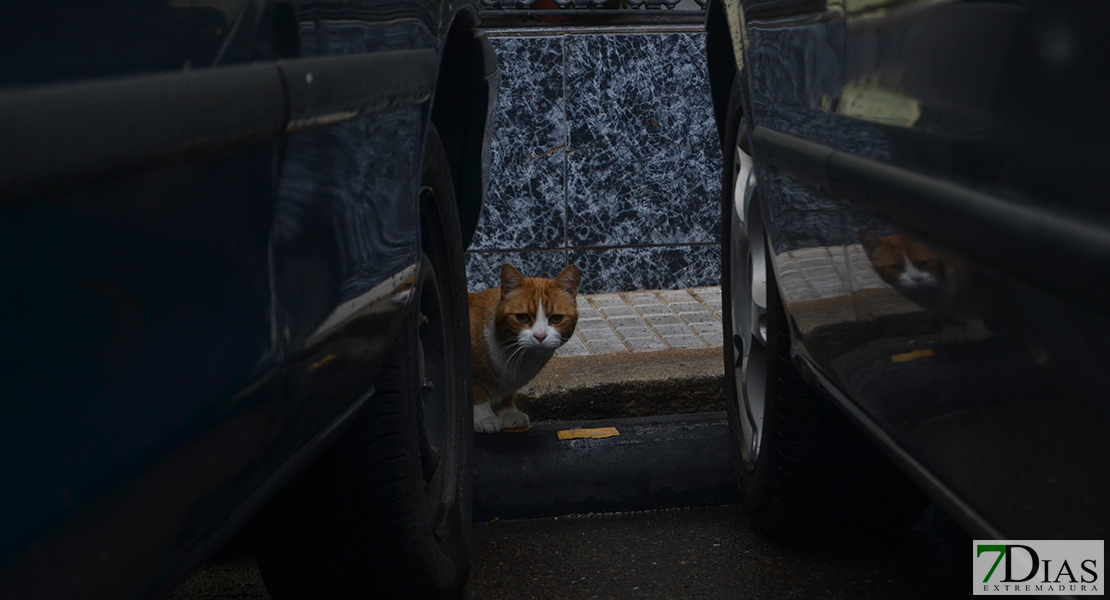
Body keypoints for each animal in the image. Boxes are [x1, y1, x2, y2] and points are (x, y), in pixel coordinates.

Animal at [468, 263, 581, 432]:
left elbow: (506, 395)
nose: (540, 336)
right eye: (522, 317)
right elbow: (477, 393)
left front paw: (508, 412)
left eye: (556, 318)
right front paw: (484, 417)